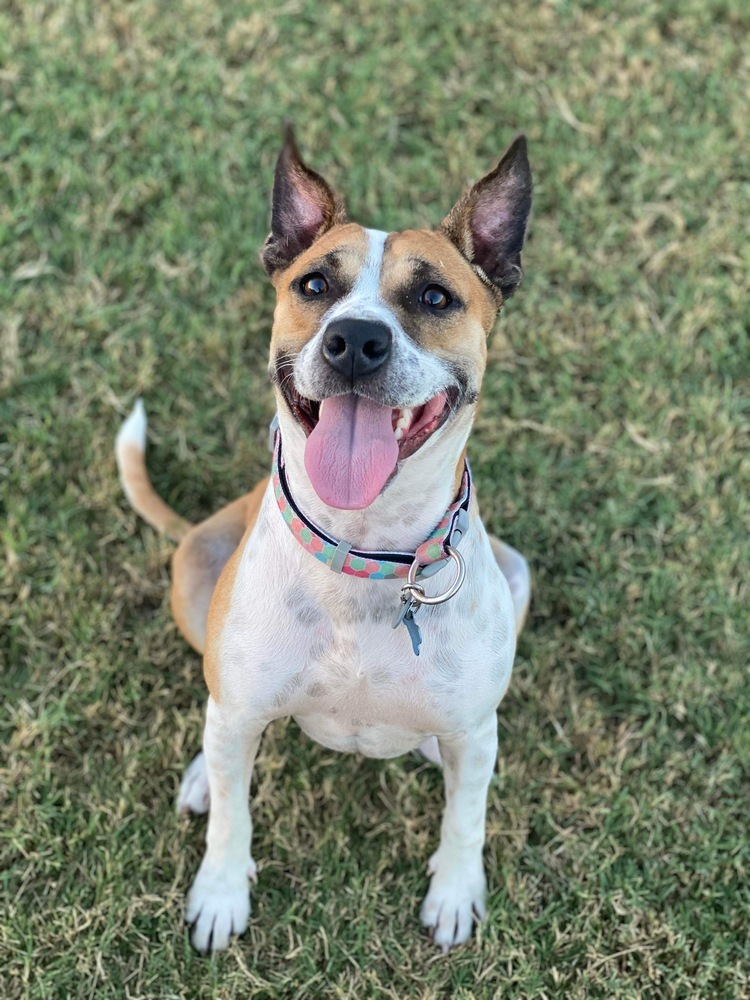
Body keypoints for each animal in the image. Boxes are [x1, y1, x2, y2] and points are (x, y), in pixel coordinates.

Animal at [116, 129, 536, 956]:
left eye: (435, 298)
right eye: (314, 285)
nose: (356, 340)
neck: (365, 554)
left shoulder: (477, 731)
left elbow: (466, 816)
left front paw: (454, 893)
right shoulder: (241, 706)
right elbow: (235, 816)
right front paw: (220, 894)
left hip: (518, 571)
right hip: (196, 569)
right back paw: (201, 775)